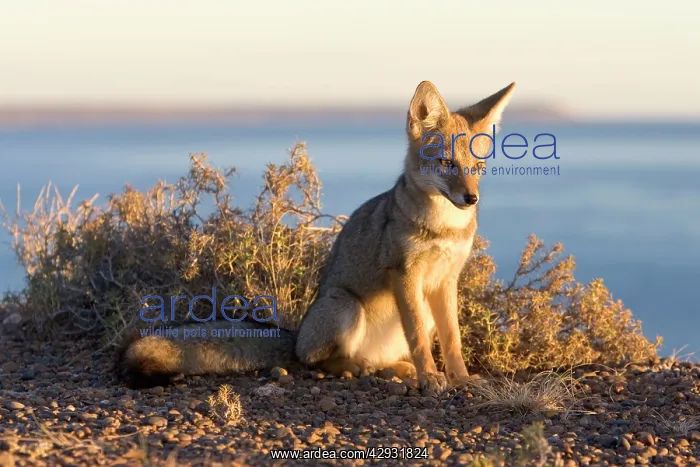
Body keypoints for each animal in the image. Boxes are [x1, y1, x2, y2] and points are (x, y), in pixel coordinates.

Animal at [118, 80, 516, 393]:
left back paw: (393, 369)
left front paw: (460, 378)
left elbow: (452, 340)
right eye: (448, 164)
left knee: (372, 360)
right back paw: (358, 367)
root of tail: (295, 336)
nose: (471, 199)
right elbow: (419, 337)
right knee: (318, 361)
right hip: (346, 307)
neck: (443, 227)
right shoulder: (406, 274)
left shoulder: (446, 280)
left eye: (478, 167)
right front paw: (431, 378)